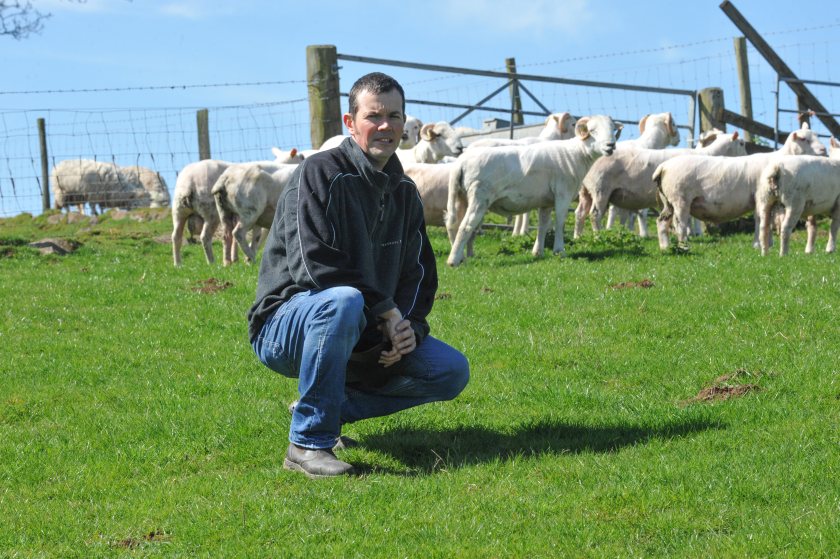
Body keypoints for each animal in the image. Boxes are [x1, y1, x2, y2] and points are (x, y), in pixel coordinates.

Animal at [446, 115, 624, 268]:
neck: (576, 153)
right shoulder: (562, 194)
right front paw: (560, 251)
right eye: (593, 130)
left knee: (454, 224)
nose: (611, 146)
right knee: (466, 226)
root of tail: (460, 163)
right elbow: (559, 222)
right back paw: (453, 261)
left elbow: (543, 225)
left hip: (462, 197)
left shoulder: (546, 202)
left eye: (612, 129)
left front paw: (538, 252)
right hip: (479, 197)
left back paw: (460, 257)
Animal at [572, 129, 748, 238]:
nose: (748, 153)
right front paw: (690, 233)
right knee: (595, 214)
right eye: (742, 143)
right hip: (600, 188)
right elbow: (689, 217)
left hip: (585, 190)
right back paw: (597, 236)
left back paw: (577, 237)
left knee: (580, 212)